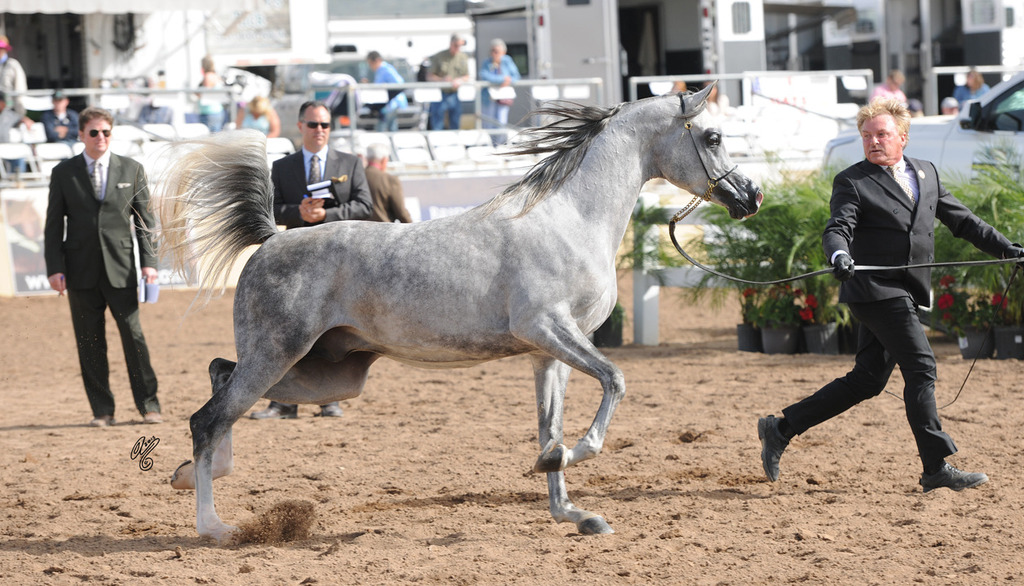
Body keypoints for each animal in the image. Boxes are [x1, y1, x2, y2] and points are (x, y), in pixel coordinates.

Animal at [159, 83, 763, 543]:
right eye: (712, 137)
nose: (750, 196)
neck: (571, 217)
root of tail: (271, 238)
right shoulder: (548, 328)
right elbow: (613, 382)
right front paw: (567, 461)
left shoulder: (548, 354)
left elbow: (549, 428)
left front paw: (570, 507)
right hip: (280, 354)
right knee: (210, 416)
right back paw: (213, 525)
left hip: (325, 374)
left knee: (219, 379)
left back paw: (189, 478)